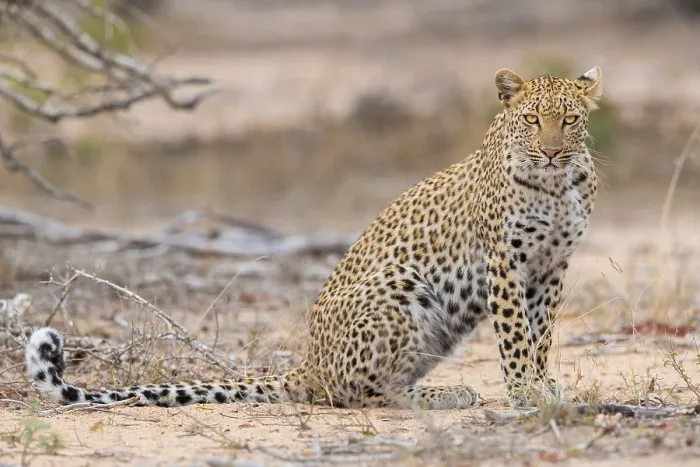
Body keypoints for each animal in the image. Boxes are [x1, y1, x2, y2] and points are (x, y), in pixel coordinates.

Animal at [25, 66, 602, 410]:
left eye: (570, 120)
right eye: (532, 120)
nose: (552, 151)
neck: (556, 186)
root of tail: (309, 363)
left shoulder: (552, 266)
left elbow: (541, 332)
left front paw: (543, 383)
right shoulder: (503, 261)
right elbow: (515, 334)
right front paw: (526, 391)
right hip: (399, 284)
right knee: (362, 393)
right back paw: (445, 394)